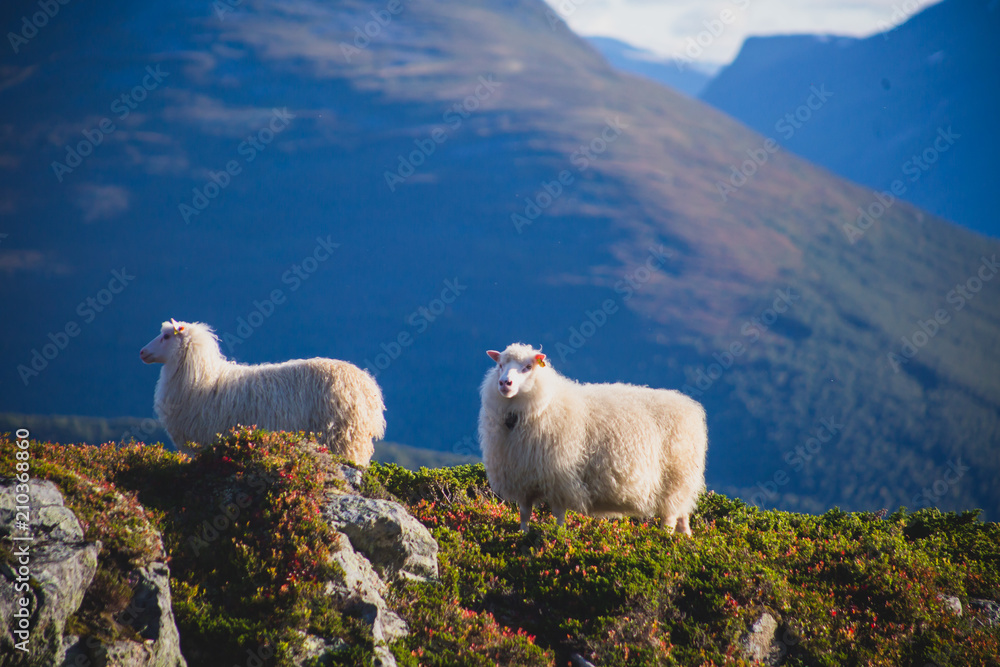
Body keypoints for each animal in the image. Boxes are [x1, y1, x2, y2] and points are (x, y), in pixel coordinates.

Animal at [478, 343, 707, 535]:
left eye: (527, 367)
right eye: (500, 365)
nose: (504, 383)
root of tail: (690, 407)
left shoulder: (559, 479)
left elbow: (558, 515)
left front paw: (557, 536)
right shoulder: (523, 477)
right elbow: (525, 513)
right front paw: (522, 534)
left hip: (675, 479)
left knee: (670, 516)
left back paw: (665, 538)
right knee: (683, 513)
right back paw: (685, 537)